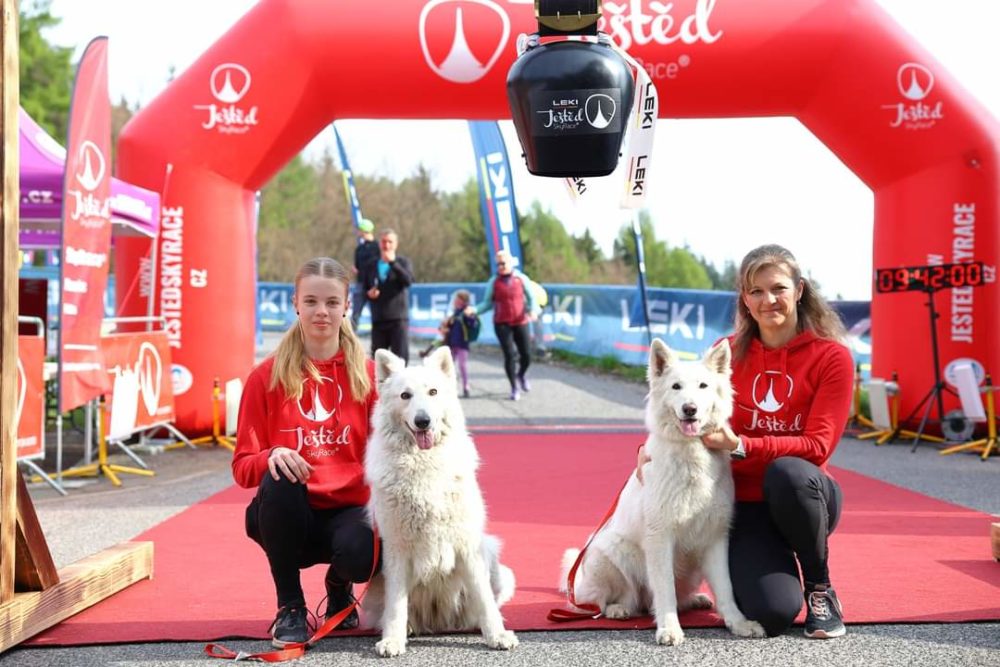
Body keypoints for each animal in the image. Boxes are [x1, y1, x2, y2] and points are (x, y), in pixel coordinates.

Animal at [364, 348, 520, 660]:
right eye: (405, 395)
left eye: (433, 392)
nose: (423, 421)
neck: (424, 464)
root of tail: (439, 621)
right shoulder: (396, 550)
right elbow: (396, 605)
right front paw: (393, 640)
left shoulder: (468, 546)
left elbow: (485, 600)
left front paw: (497, 635)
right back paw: (408, 629)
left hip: (493, 558)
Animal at [564, 342, 764, 644]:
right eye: (676, 386)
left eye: (703, 386)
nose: (689, 409)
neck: (690, 455)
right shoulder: (660, 539)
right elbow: (664, 588)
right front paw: (669, 628)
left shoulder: (715, 539)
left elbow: (726, 588)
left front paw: (738, 623)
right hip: (609, 551)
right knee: (605, 601)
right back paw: (617, 608)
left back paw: (694, 600)